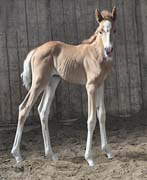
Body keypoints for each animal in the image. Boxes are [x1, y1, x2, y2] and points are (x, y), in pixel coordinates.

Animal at [11, 7, 116, 167]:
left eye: (114, 30)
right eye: (100, 31)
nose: (108, 50)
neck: (96, 54)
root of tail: (35, 51)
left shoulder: (101, 85)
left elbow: (102, 115)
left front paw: (108, 151)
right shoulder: (90, 86)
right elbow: (91, 119)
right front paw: (89, 158)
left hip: (52, 82)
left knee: (43, 110)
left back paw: (51, 154)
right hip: (38, 83)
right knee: (24, 108)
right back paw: (17, 155)